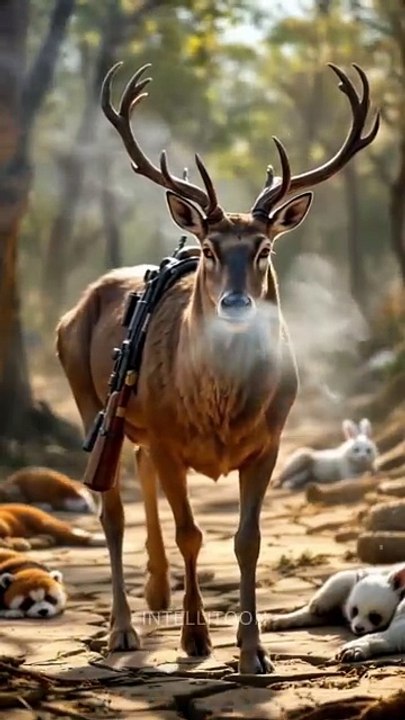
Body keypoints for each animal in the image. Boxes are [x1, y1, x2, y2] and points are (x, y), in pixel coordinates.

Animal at [56, 62, 379, 673]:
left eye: (264, 249)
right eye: (208, 249)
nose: (234, 303)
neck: (219, 409)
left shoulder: (270, 439)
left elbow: (247, 539)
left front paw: (254, 652)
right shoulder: (168, 437)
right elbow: (192, 532)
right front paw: (195, 639)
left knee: (137, 473)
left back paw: (157, 591)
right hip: (89, 395)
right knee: (112, 510)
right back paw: (123, 629)